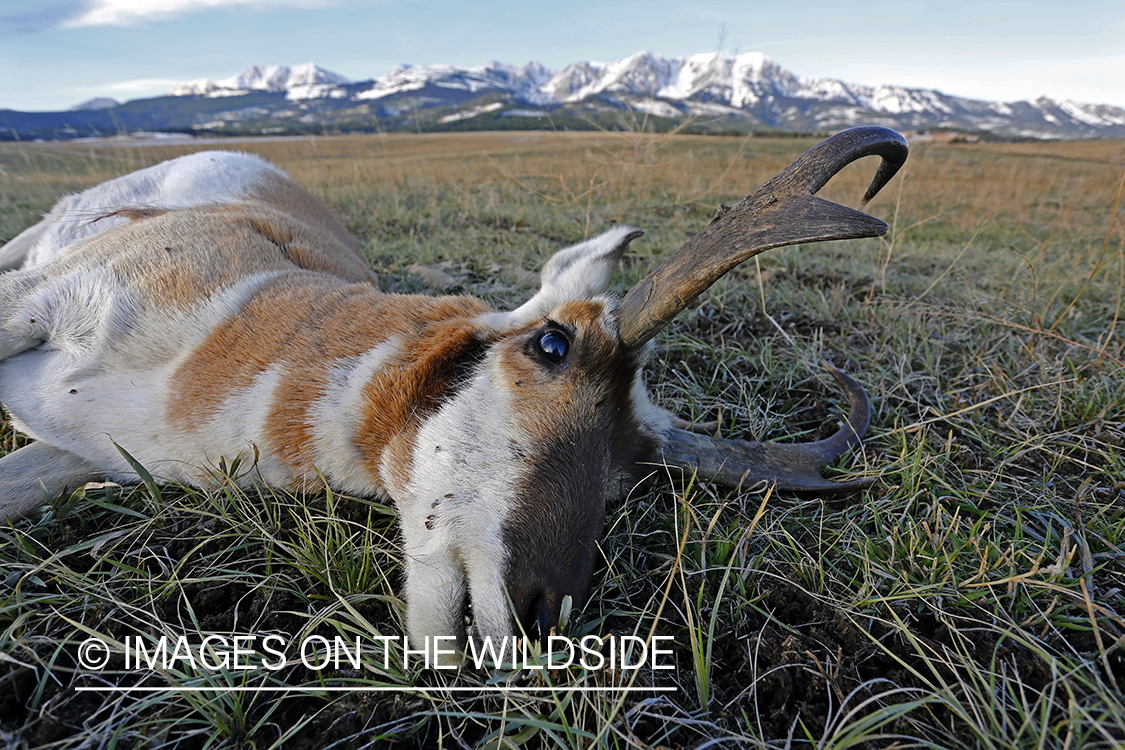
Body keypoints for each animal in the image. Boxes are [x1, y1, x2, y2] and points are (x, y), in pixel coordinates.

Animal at [0, 127, 904, 652]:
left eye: (627, 469)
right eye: (552, 344)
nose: (543, 619)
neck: (265, 315)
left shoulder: (78, 458)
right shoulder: (29, 308)